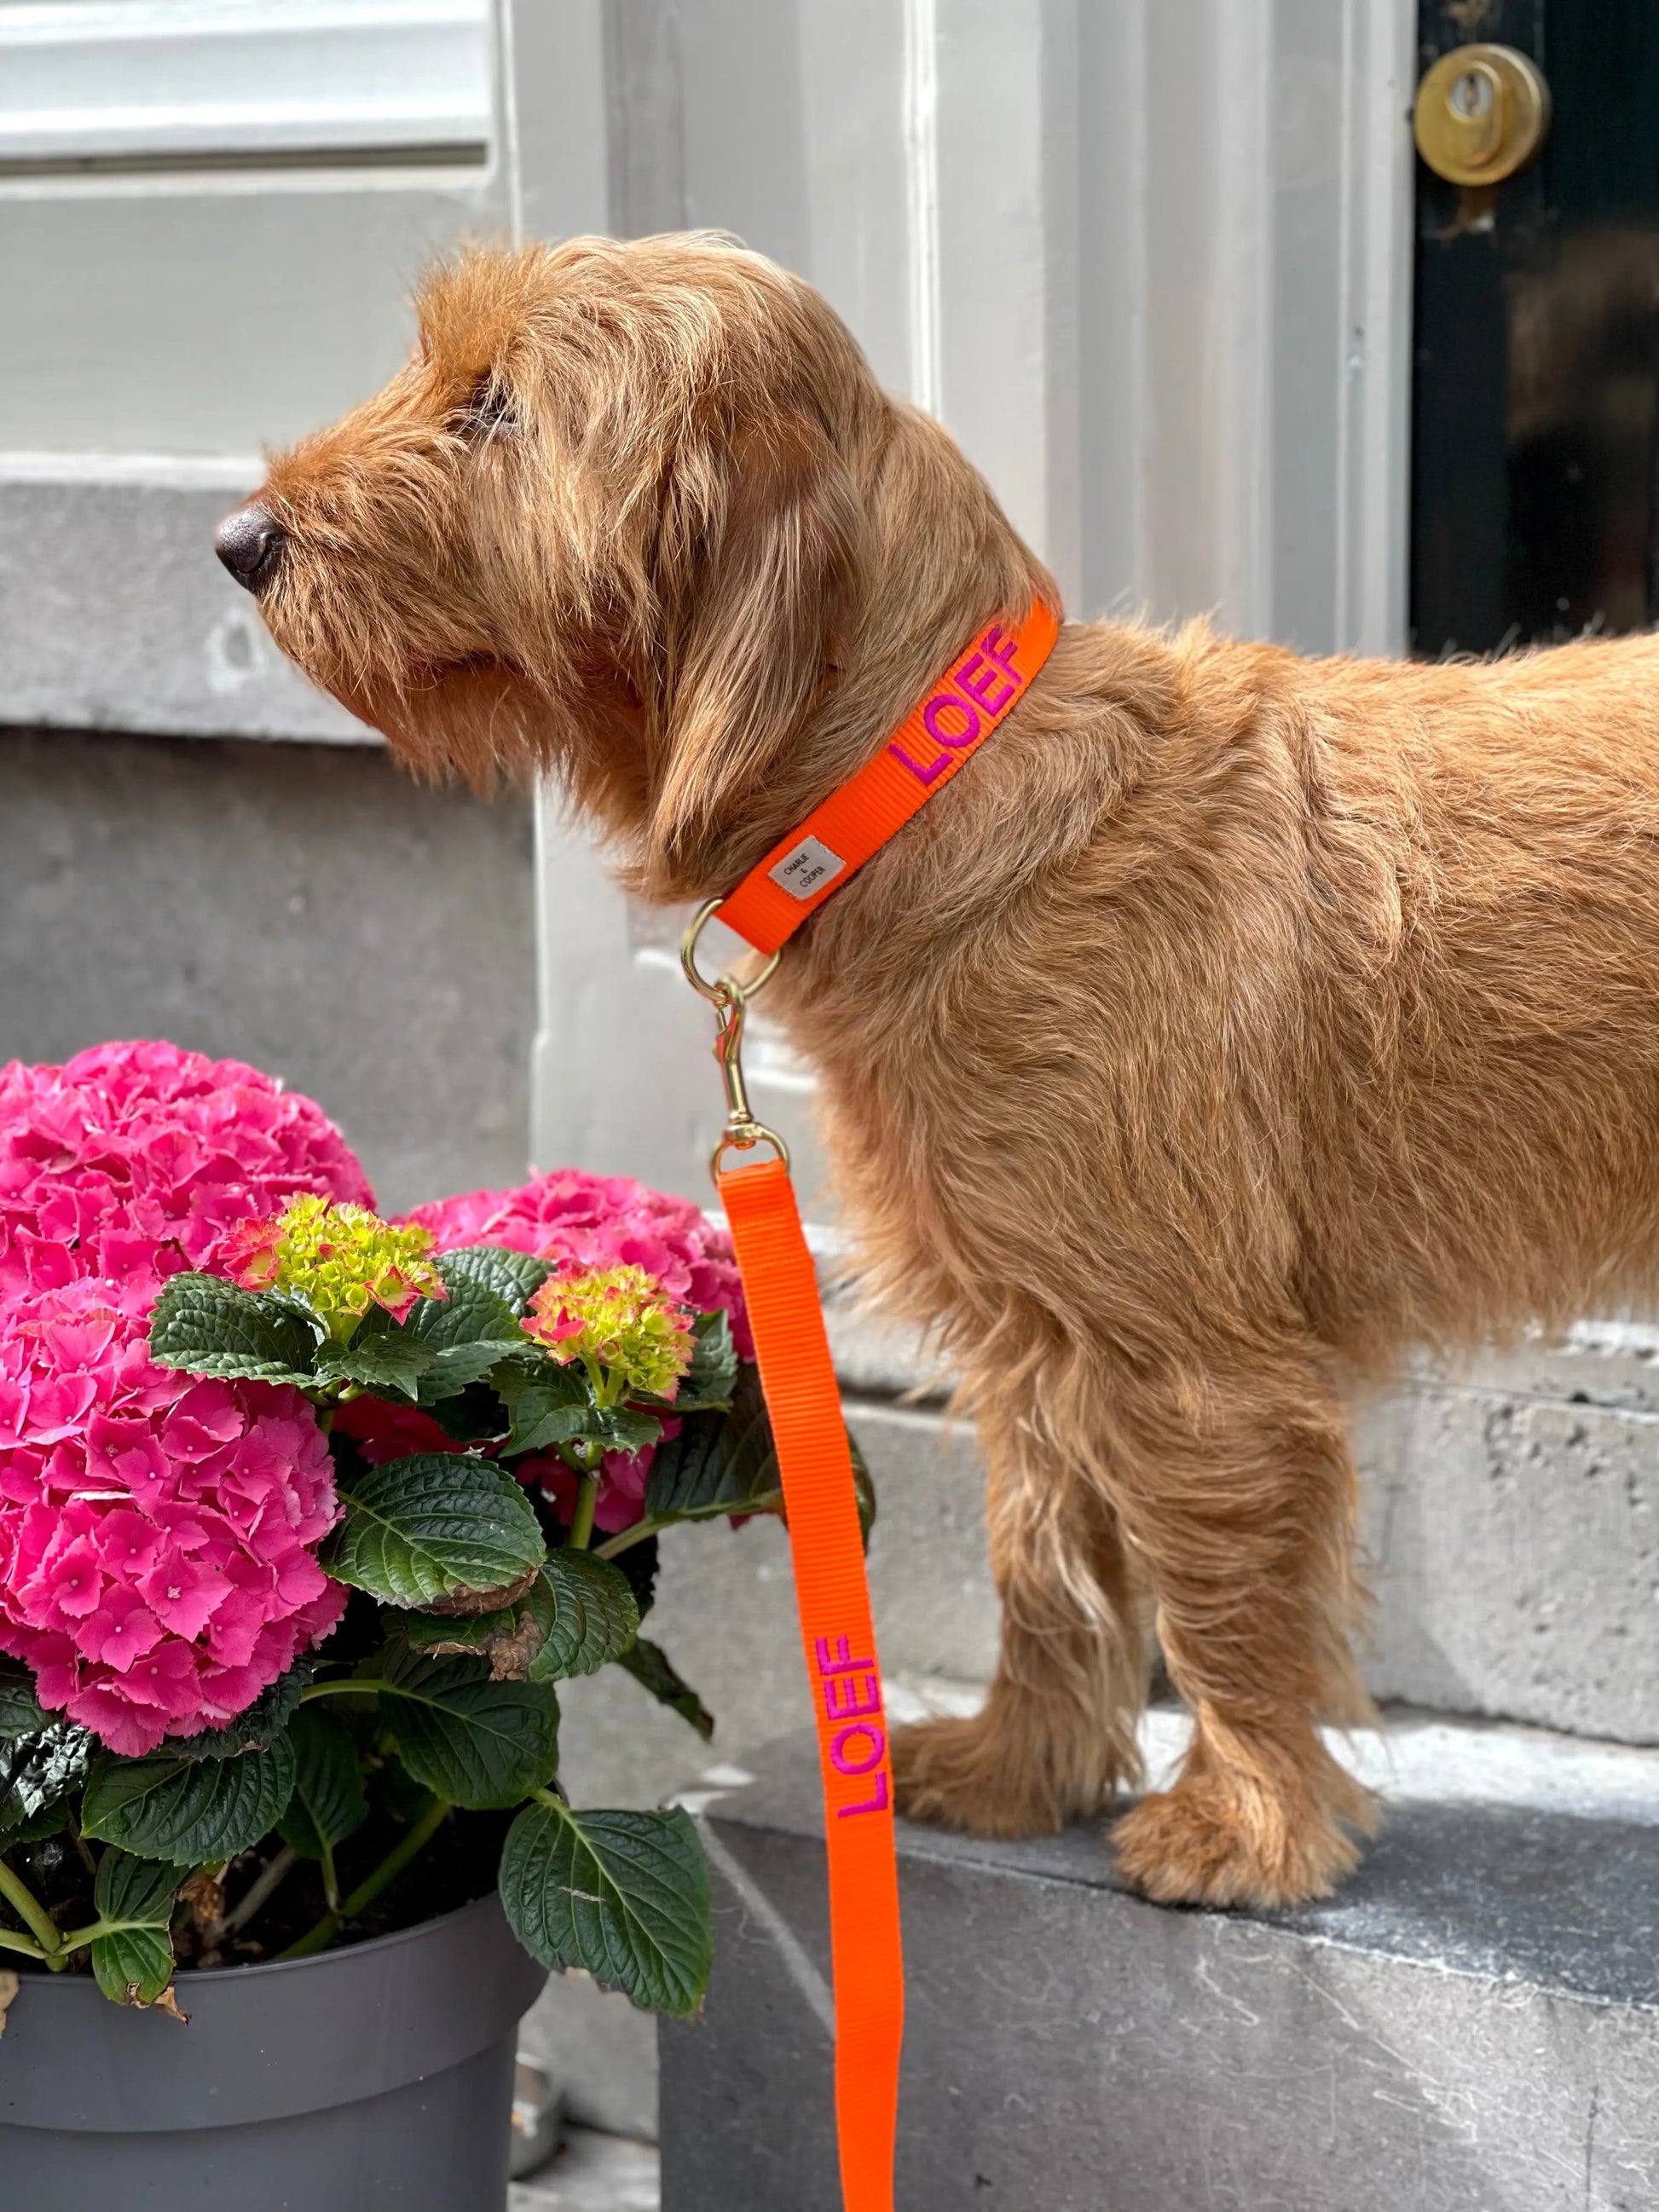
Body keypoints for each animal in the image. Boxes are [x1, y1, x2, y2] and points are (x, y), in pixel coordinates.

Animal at [214, 233, 1659, 1911]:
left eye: (495, 405)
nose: (238, 539)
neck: (942, 795)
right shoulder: (1035, 1335)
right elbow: (1041, 1560)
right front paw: (1019, 1769)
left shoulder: (1192, 1363)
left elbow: (1221, 1595)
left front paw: (1242, 1825)